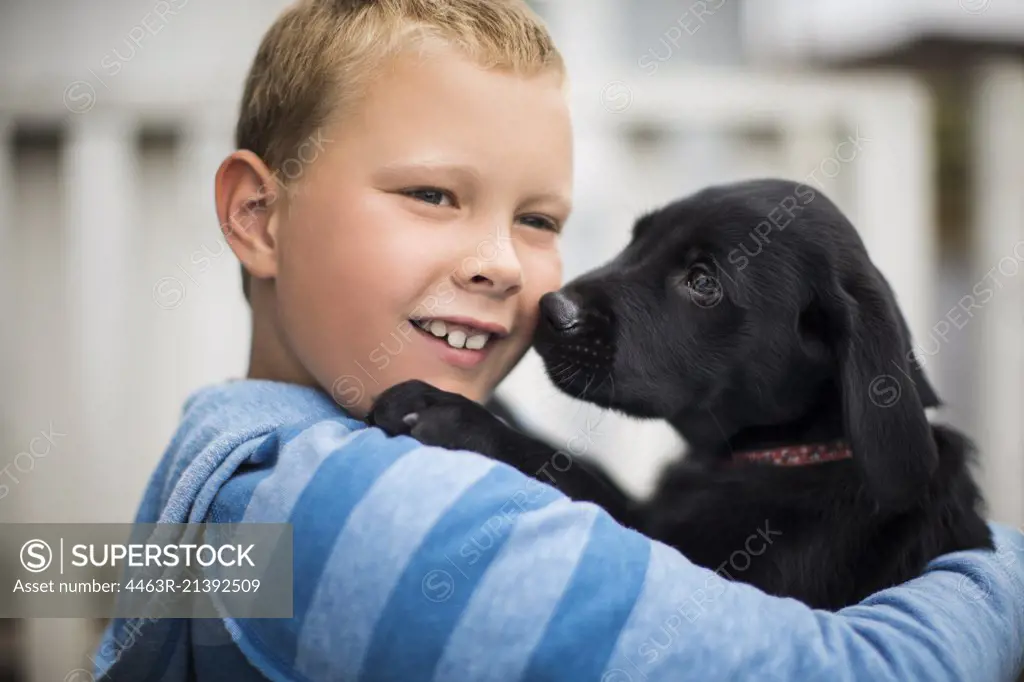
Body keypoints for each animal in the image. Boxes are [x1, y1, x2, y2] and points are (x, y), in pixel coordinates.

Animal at [368, 178, 991, 606]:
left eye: (703, 282)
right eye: (637, 240)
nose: (552, 309)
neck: (790, 452)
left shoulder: (696, 561)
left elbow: (576, 475)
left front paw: (452, 411)